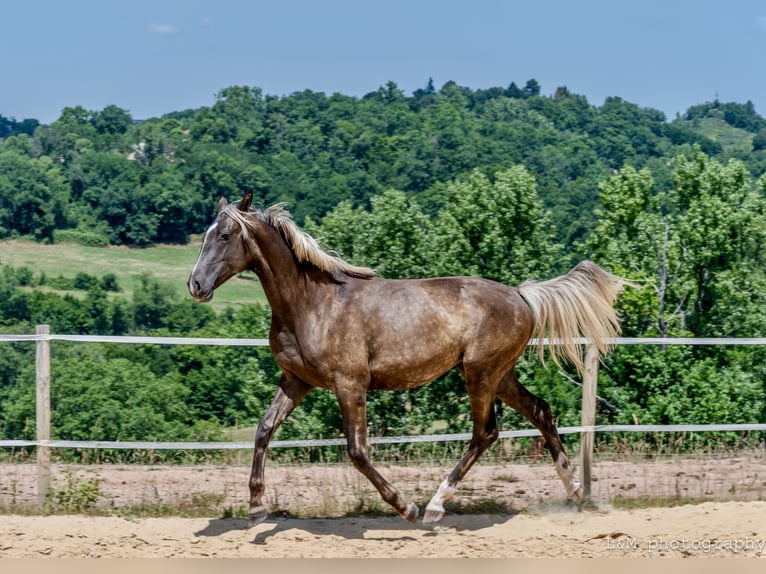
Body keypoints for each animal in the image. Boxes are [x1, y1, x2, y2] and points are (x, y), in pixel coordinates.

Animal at [188, 191, 624, 525]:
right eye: (205, 235)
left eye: (224, 234)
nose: (196, 286)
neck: (312, 304)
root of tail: (520, 294)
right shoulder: (297, 381)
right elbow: (263, 430)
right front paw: (256, 508)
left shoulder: (350, 384)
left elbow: (358, 452)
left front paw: (406, 508)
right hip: (500, 375)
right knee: (541, 411)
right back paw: (576, 493)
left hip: (480, 372)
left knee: (485, 433)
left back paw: (433, 507)